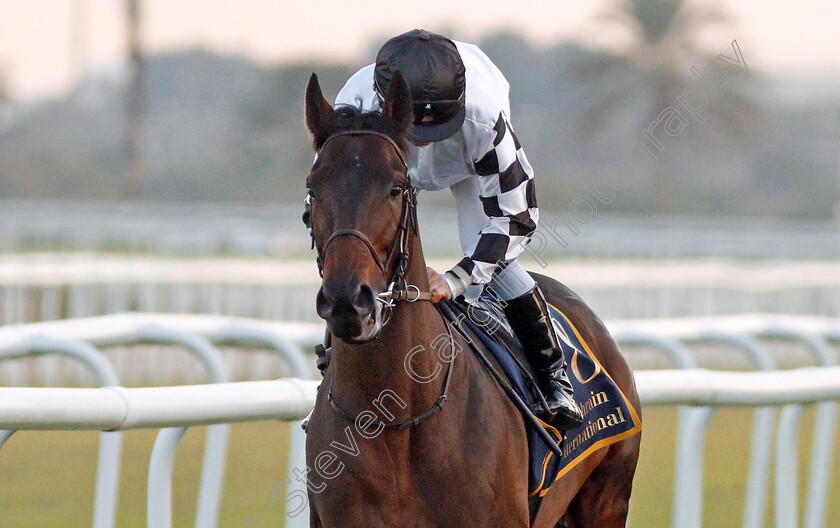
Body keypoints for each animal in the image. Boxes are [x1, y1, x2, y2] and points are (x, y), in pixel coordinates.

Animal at [306, 71, 640, 528]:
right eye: (313, 188)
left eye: (396, 188)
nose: (347, 302)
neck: (396, 425)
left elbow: (514, 218)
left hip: (607, 497)